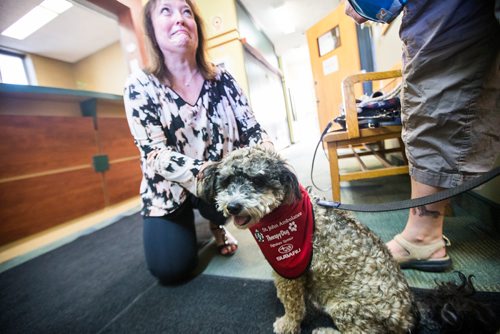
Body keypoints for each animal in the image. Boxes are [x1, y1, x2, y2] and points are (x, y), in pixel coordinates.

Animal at [197, 147, 416, 334]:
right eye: (226, 181)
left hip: (346, 308)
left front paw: (287, 324)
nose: (233, 206)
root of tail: (406, 320)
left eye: (258, 180)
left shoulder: (289, 270)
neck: (280, 211)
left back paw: (324, 331)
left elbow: (293, 307)